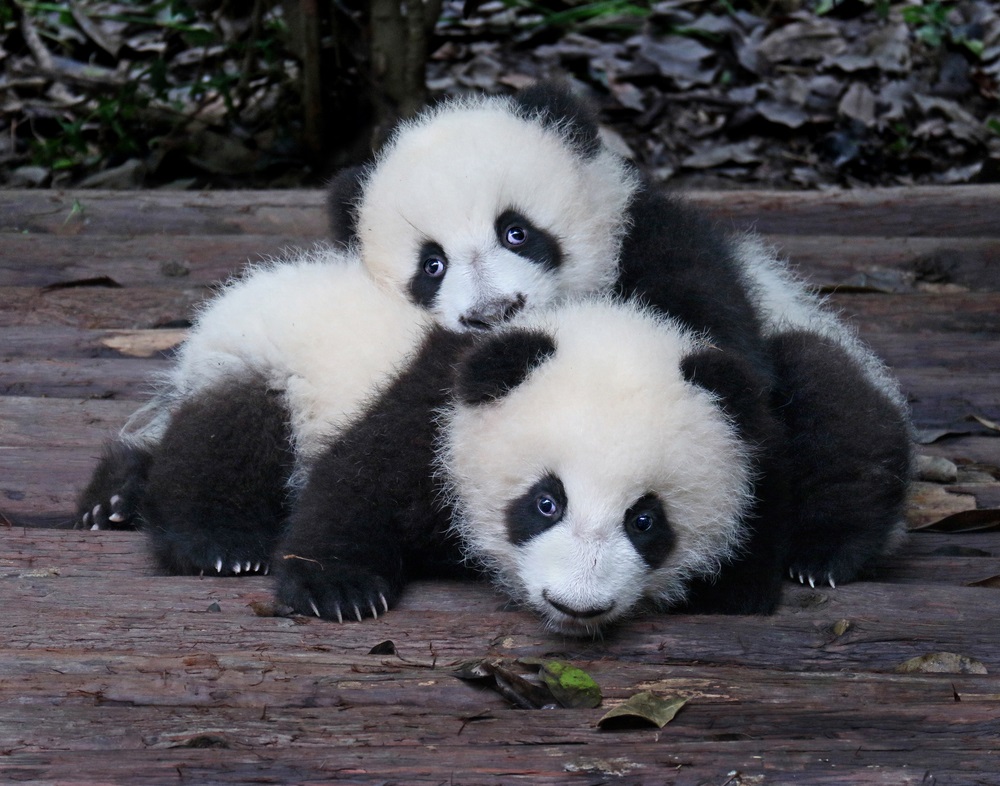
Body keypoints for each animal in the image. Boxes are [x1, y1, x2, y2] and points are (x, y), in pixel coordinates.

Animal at [328, 81, 913, 590]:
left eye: (516, 231)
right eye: (432, 265)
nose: (493, 310)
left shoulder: (655, 239)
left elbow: (719, 346)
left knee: (833, 404)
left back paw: (825, 551)